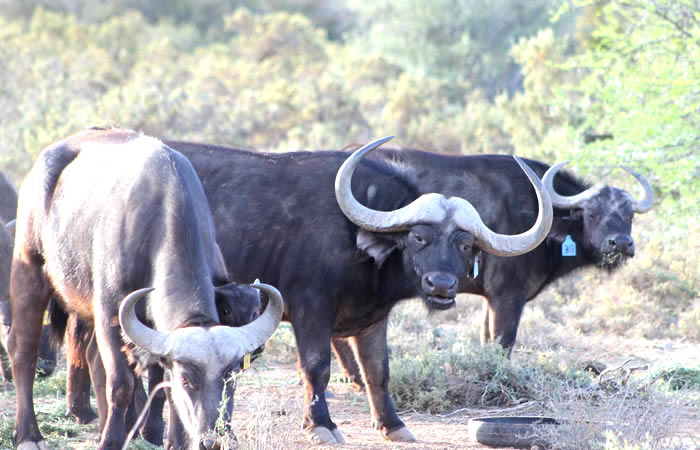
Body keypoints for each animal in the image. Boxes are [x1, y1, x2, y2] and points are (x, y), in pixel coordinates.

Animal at [8, 129, 283, 450]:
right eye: (187, 380)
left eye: (231, 375)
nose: (212, 440)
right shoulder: (110, 314)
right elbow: (122, 384)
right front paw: (112, 441)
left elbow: (160, 387)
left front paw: (169, 439)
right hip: (30, 269)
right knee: (23, 349)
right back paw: (29, 434)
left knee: (90, 356)